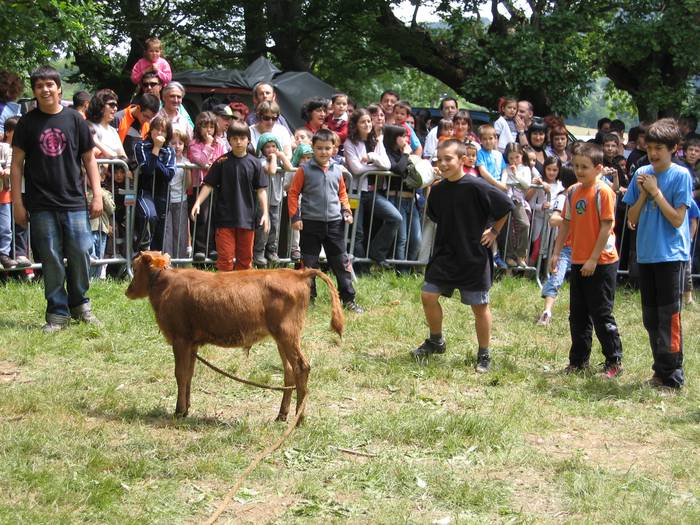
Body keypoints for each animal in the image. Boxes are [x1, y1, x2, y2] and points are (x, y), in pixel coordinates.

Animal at [127, 251, 346, 422]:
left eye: (135, 269)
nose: (127, 291)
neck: (166, 284)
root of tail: (298, 272)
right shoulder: (192, 343)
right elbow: (188, 374)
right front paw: (185, 409)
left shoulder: (180, 339)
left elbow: (180, 374)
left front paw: (178, 411)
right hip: (283, 338)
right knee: (290, 371)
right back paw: (282, 415)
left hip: (287, 334)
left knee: (301, 367)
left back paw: (299, 419)